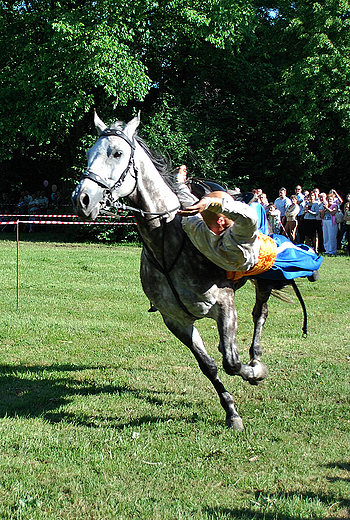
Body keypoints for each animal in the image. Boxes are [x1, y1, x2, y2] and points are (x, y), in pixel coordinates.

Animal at [72, 112, 300, 430]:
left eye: (117, 153)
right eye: (87, 153)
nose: (82, 199)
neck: (168, 240)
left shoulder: (224, 306)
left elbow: (231, 361)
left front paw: (254, 373)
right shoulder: (176, 320)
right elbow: (210, 365)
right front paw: (230, 410)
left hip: (263, 279)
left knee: (260, 314)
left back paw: (256, 359)